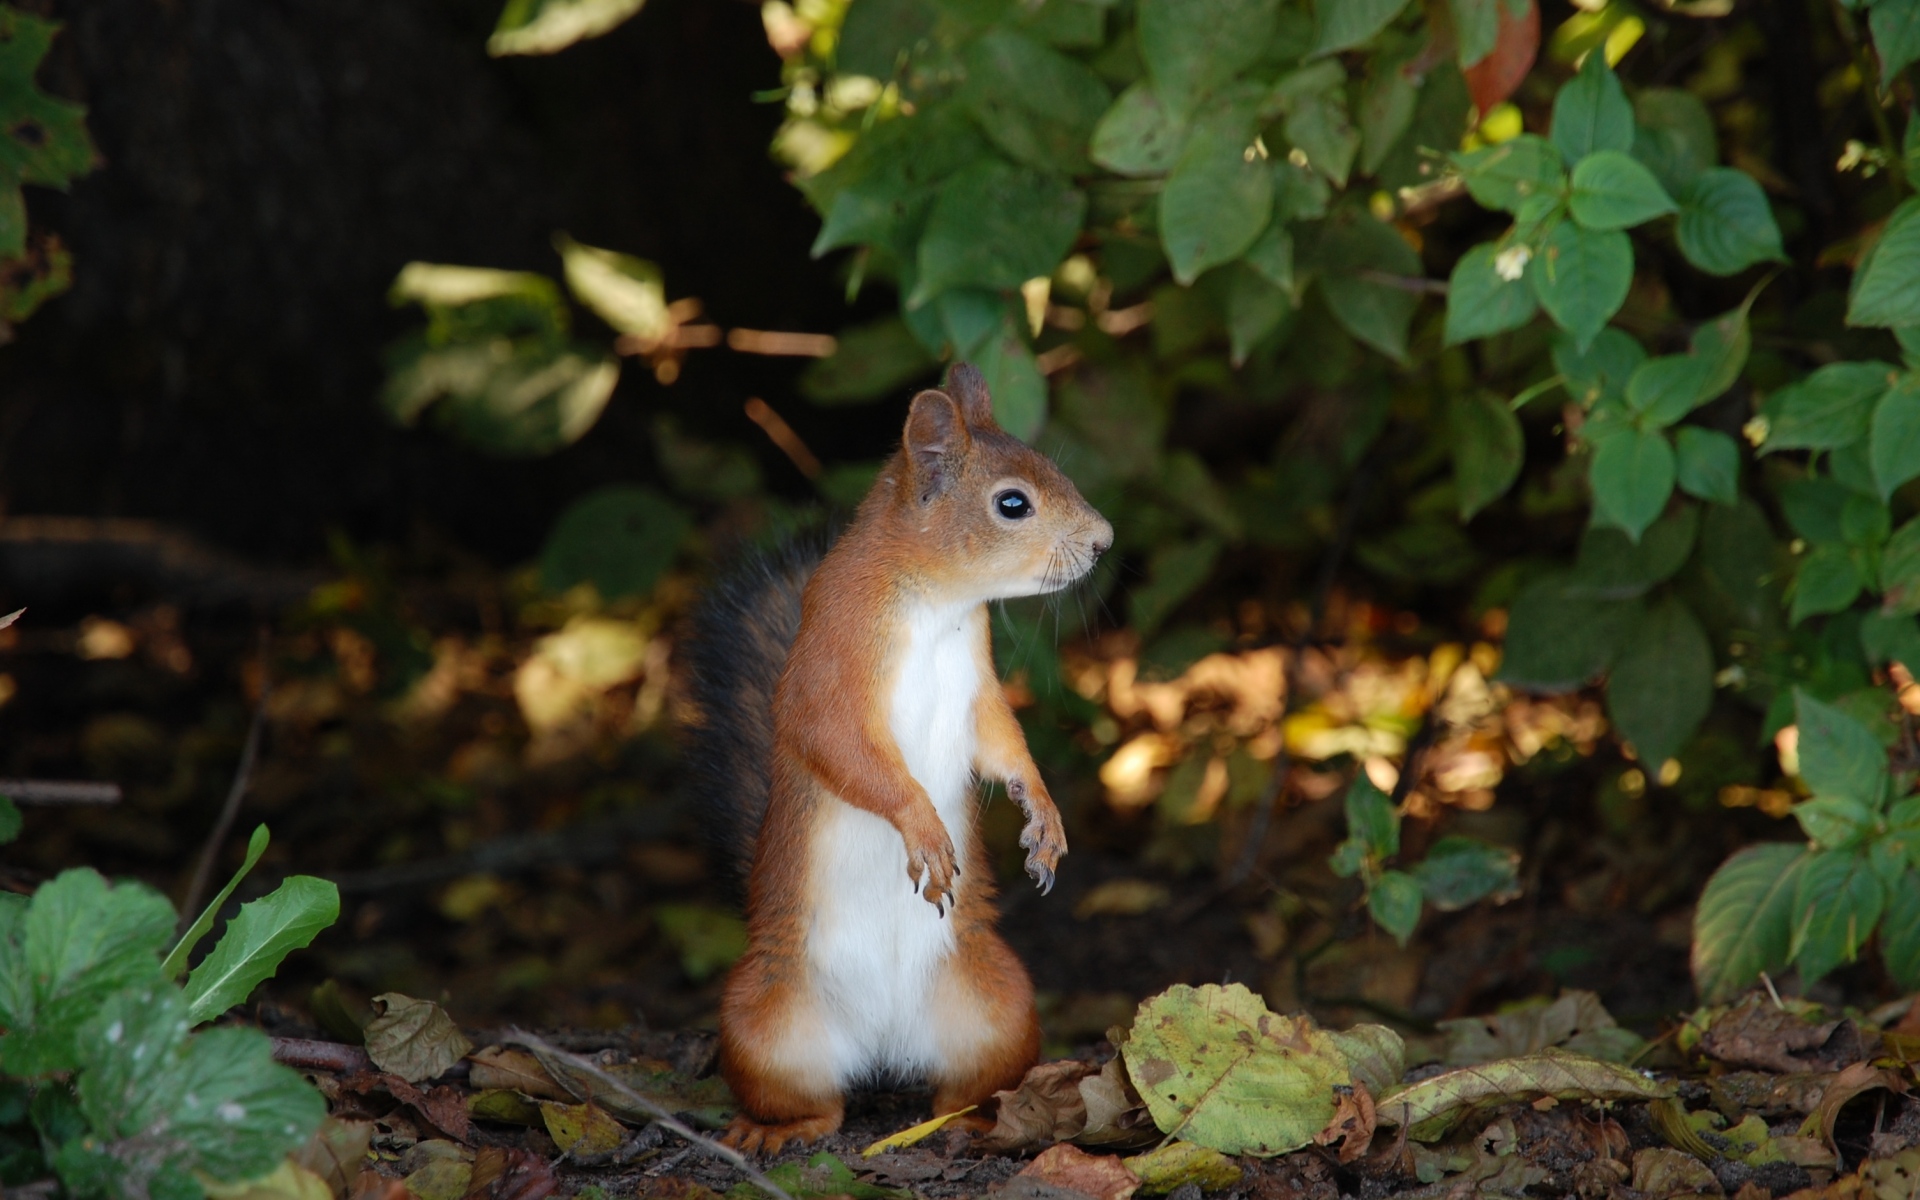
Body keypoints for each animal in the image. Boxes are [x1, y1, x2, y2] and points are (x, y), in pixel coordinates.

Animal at [681, 363, 1113, 1154]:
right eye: (1013, 503)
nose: (1103, 541)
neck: (938, 604)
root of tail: (881, 1045)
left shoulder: (978, 686)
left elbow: (1003, 743)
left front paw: (1043, 813)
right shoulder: (831, 668)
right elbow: (846, 751)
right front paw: (924, 828)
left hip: (1000, 1008)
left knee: (961, 1087)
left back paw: (974, 1120)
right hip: (762, 1025)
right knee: (818, 1104)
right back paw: (774, 1131)